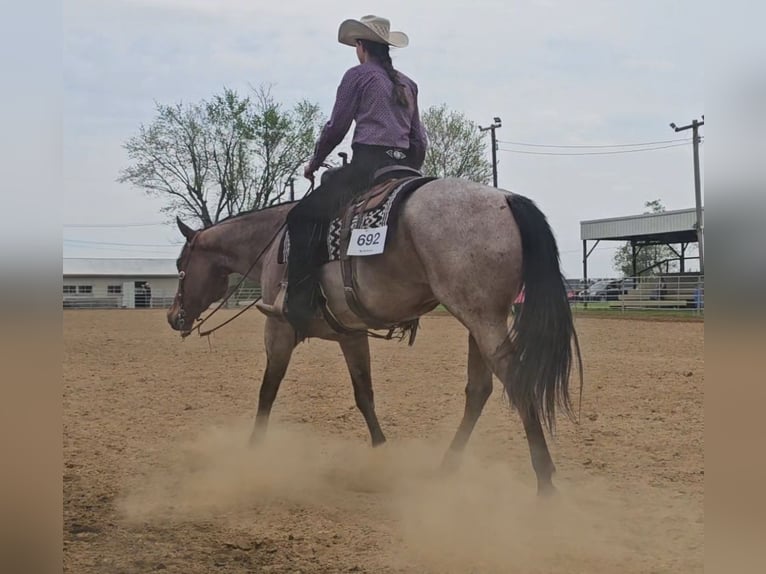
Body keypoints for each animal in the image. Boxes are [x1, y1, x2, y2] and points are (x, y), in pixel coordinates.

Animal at [166, 179, 584, 496]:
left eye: (181, 264)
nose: (173, 317)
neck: (273, 244)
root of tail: (506, 199)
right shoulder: (350, 334)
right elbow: (364, 394)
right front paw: (383, 453)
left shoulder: (279, 330)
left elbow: (267, 391)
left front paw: (253, 450)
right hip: (480, 321)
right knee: (479, 389)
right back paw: (446, 467)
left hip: (483, 321)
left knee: (516, 382)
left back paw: (544, 482)